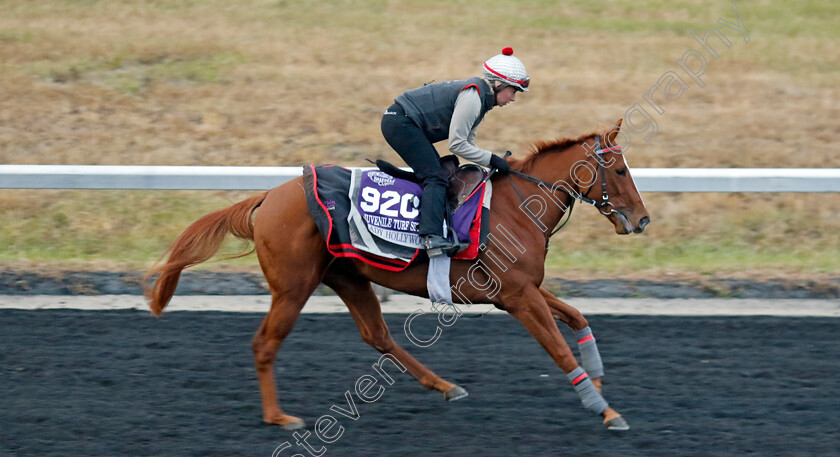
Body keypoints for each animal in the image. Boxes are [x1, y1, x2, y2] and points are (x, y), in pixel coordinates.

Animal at [146, 117, 648, 432]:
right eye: (620, 169)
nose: (642, 221)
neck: (518, 207)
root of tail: (267, 196)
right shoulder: (517, 297)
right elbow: (559, 350)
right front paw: (605, 410)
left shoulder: (525, 290)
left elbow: (578, 318)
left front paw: (597, 381)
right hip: (293, 286)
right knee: (265, 343)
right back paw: (278, 417)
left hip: (347, 277)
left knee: (378, 335)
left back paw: (444, 386)